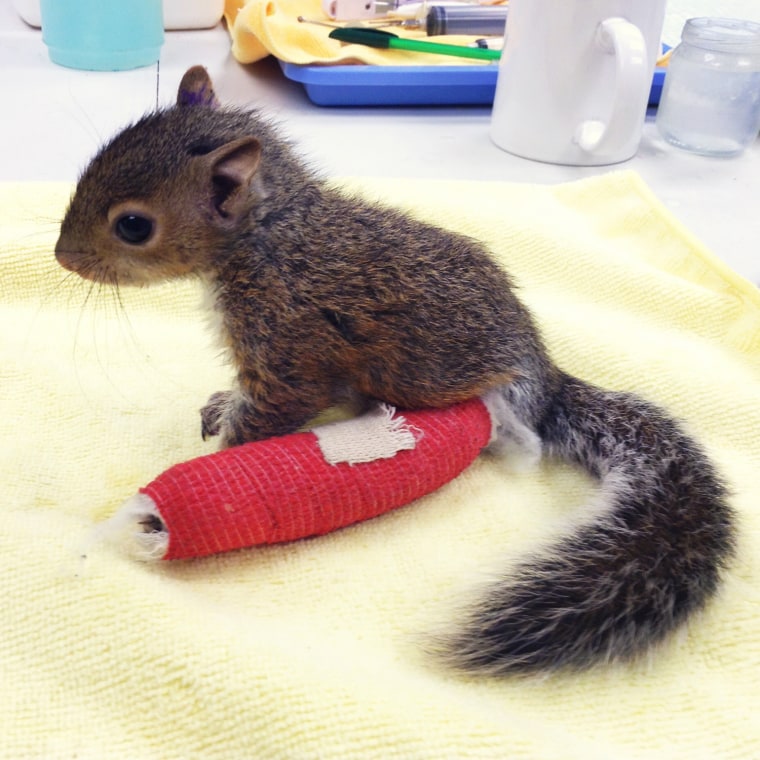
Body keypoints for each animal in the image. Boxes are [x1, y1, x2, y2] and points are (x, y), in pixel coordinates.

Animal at [52, 63, 732, 672]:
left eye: (133, 225)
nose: (60, 257)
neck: (269, 236)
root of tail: (548, 379)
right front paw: (219, 405)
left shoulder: (289, 345)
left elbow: (270, 412)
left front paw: (218, 456)